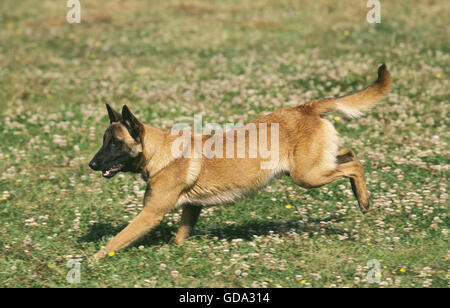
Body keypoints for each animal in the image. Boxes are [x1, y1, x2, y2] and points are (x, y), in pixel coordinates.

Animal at [88, 64, 390, 260]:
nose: (91, 165)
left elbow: (116, 240)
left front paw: (91, 261)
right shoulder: (191, 208)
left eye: (115, 143)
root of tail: (305, 107)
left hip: (307, 176)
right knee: (350, 155)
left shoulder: (150, 214)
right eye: (104, 141)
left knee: (354, 166)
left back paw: (363, 201)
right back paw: (360, 195)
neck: (158, 152)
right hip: (316, 168)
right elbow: (180, 236)